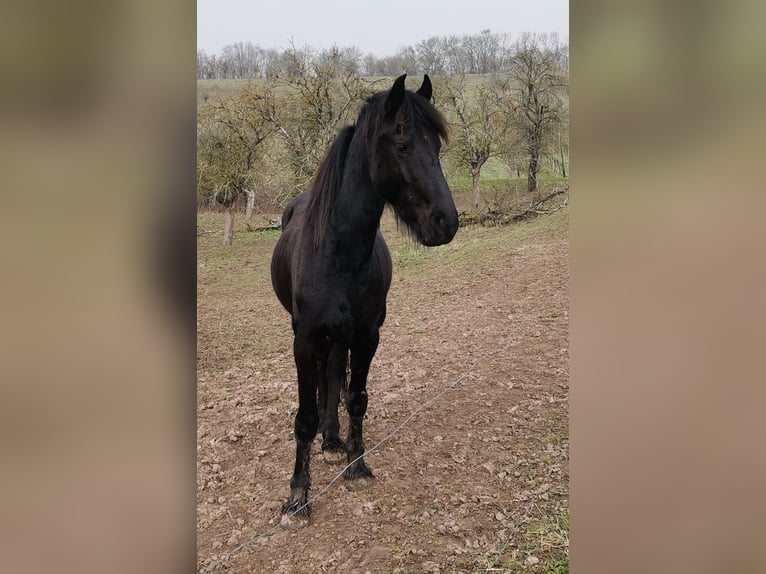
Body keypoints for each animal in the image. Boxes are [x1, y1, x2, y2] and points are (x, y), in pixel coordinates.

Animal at [270, 74, 460, 520]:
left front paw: (356, 462)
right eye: (402, 145)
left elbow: (355, 398)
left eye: (436, 146)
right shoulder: (304, 341)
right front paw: (298, 495)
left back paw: (332, 440)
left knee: (333, 377)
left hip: (343, 337)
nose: (446, 222)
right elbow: (304, 416)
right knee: (323, 381)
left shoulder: (368, 336)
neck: (339, 255)